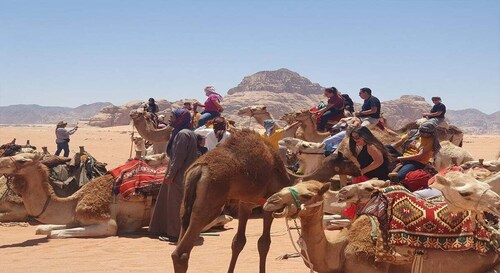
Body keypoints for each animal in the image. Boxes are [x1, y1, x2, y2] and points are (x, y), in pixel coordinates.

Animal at [0, 152, 230, 237]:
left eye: (22, 160)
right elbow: (42, 228)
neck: (74, 200)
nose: (1, 162)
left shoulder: (106, 222)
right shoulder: (75, 217)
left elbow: (55, 233)